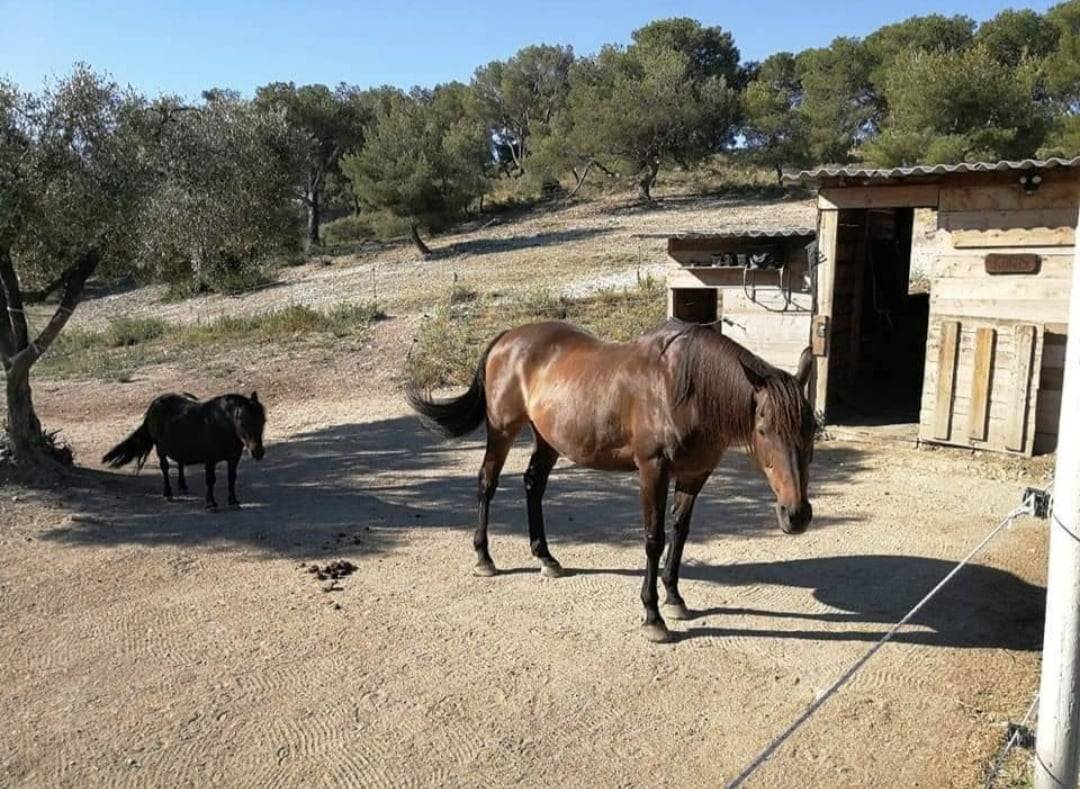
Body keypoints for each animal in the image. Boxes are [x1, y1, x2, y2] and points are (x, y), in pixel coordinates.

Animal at [103, 392, 266, 511]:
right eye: (242, 423)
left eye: (263, 421)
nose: (258, 452)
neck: (220, 425)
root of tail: (155, 404)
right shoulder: (210, 459)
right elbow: (210, 479)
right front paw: (211, 504)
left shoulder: (234, 458)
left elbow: (231, 478)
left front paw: (233, 501)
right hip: (160, 449)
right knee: (165, 468)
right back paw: (168, 493)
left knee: (180, 463)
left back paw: (182, 485)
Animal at [408, 320, 816, 643]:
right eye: (763, 429)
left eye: (811, 428)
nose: (796, 515)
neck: (683, 389)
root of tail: (509, 338)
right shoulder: (653, 471)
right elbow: (655, 539)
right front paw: (653, 616)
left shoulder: (695, 474)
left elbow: (680, 531)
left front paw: (675, 597)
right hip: (502, 430)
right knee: (487, 484)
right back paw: (484, 557)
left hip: (548, 439)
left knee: (533, 485)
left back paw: (546, 557)